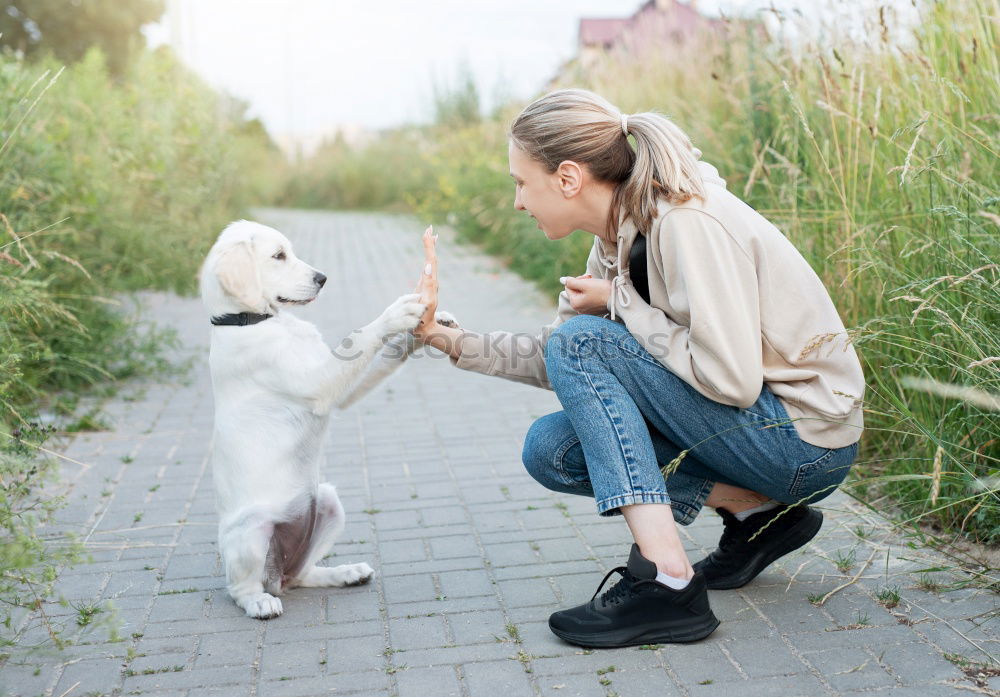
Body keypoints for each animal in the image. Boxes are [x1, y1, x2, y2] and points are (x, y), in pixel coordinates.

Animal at [197, 220, 444, 616]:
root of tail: (276, 574)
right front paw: (396, 313)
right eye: (278, 256)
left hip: (328, 502)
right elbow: (363, 335)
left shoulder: (339, 393)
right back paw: (259, 602)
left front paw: (426, 329)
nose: (323, 278)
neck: (247, 322)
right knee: (239, 588)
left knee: (303, 575)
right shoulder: (320, 385)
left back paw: (346, 573)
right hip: (252, 533)